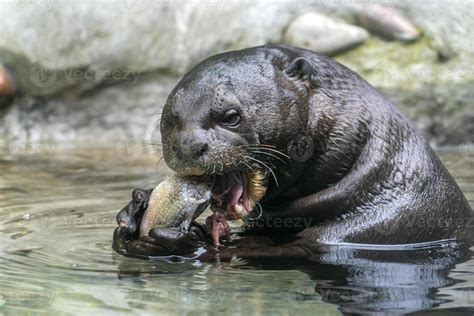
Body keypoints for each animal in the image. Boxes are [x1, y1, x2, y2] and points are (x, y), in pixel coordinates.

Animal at [113, 45, 472, 260]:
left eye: (231, 116)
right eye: (168, 120)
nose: (188, 146)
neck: (381, 182)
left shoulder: (379, 227)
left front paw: (181, 242)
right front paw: (133, 213)